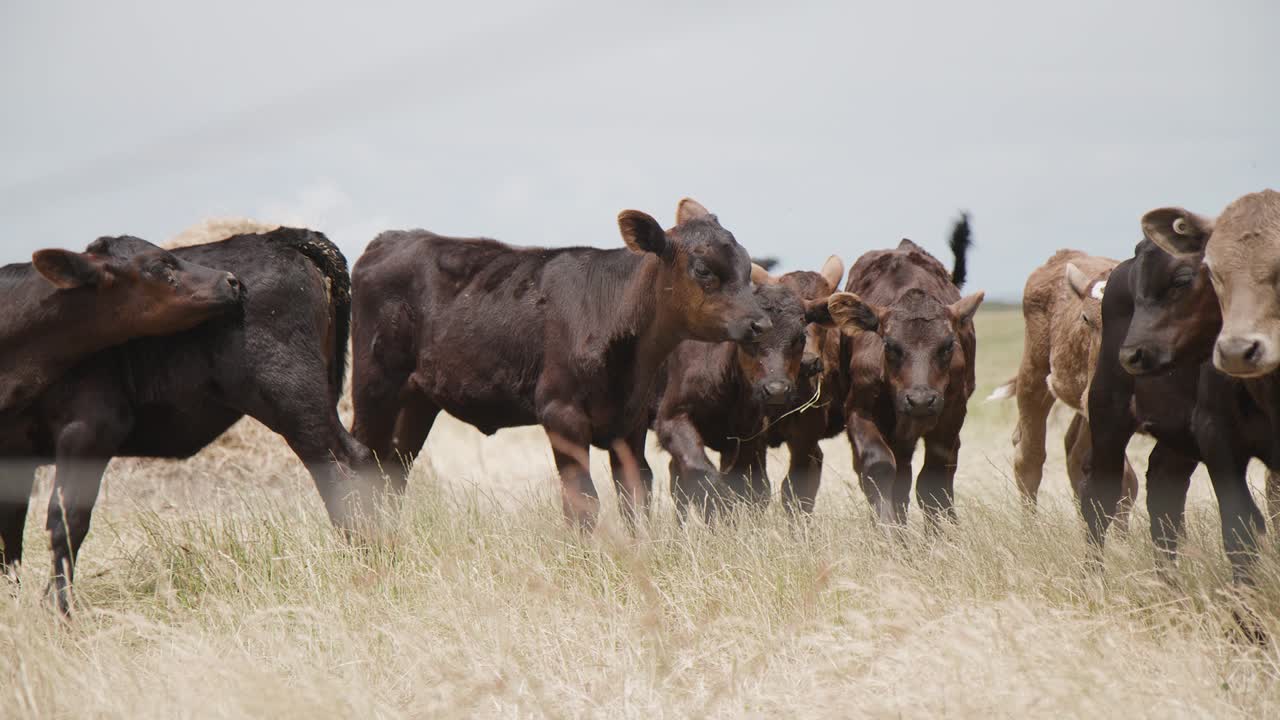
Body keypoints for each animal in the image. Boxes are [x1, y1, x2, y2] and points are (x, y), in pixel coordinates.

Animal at [349, 199, 770, 529]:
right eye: (703, 270)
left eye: (747, 267)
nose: (760, 324)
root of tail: (391, 239)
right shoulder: (560, 414)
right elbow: (582, 501)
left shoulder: (630, 424)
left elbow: (635, 496)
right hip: (374, 387)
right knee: (360, 464)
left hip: (417, 400)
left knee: (393, 470)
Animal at [654, 259, 855, 520]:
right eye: (750, 336)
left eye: (800, 334)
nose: (809, 363)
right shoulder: (672, 419)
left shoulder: (795, 436)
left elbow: (786, 490)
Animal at [833, 216, 983, 526]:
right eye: (890, 345)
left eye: (948, 345)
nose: (921, 400)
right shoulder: (859, 411)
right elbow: (878, 468)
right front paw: (888, 528)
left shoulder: (951, 416)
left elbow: (933, 483)